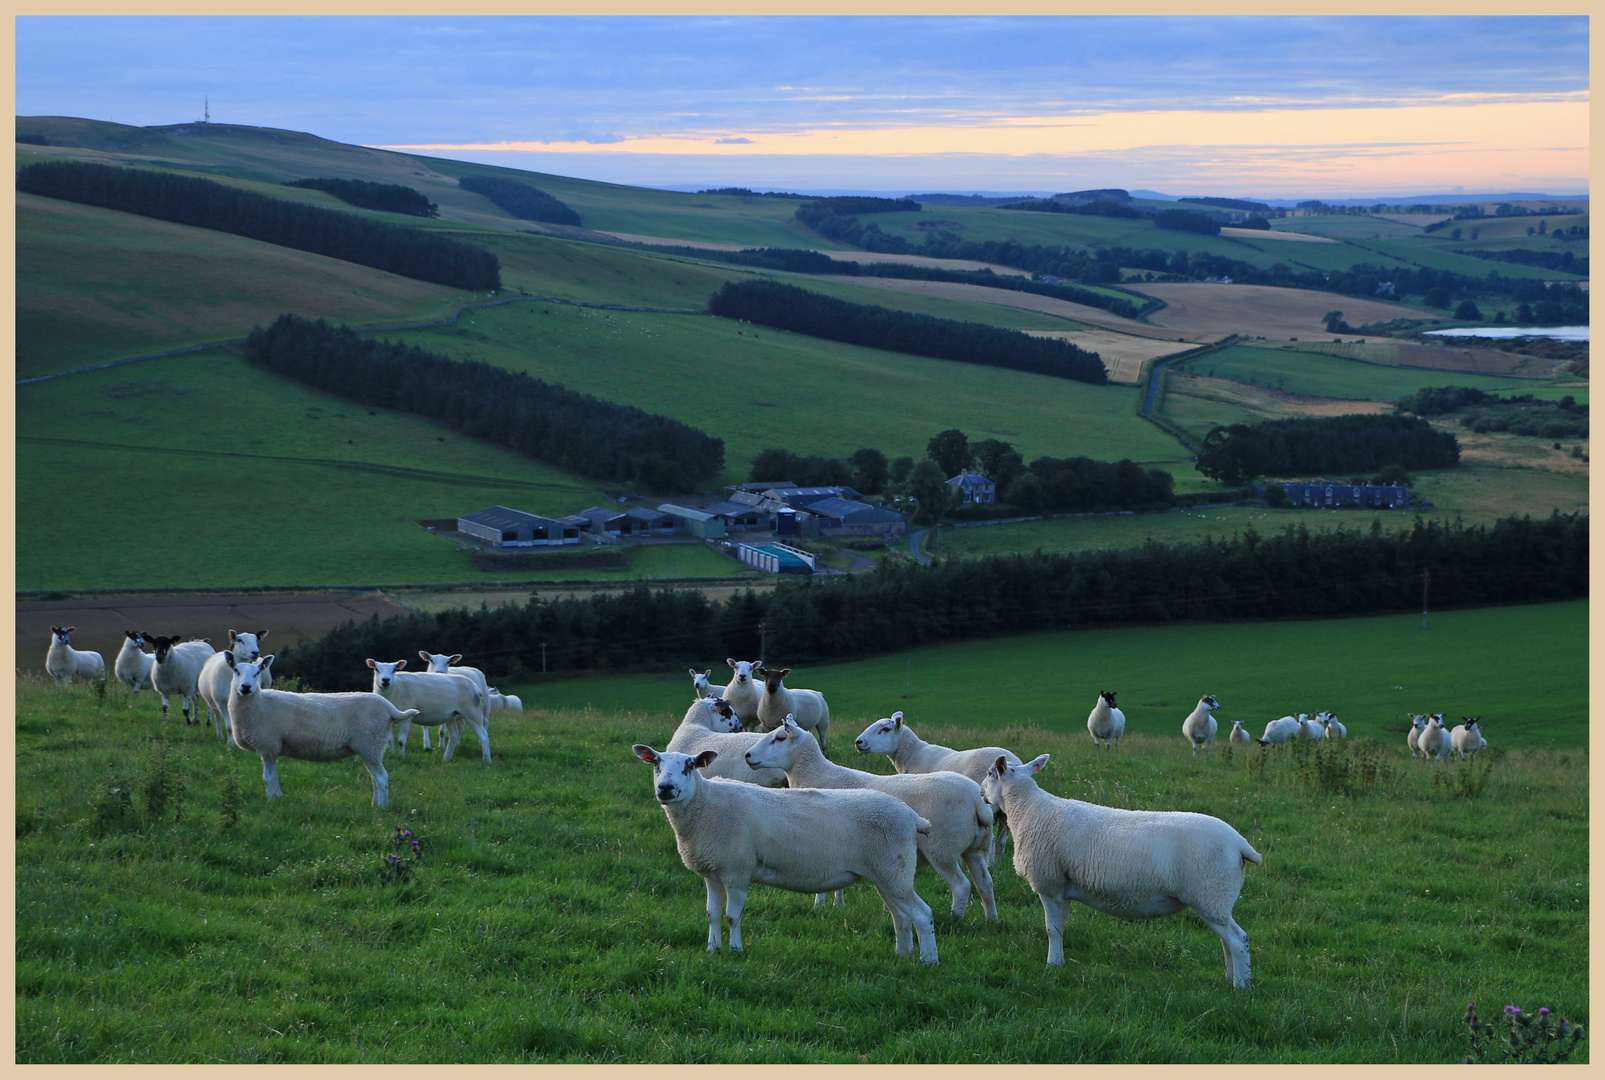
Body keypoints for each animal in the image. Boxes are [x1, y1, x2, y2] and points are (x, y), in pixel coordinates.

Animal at [223, 648, 420, 808]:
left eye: (257, 673)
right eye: (236, 671)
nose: (246, 687)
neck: (259, 704)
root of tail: (389, 707)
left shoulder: (269, 745)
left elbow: (269, 778)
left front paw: (273, 801)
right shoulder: (271, 748)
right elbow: (275, 777)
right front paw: (278, 797)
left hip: (370, 743)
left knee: (381, 777)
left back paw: (382, 808)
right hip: (371, 747)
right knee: (375, 777)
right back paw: (375, 804)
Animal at [629, 741, 937, 962]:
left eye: (690, 765)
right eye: (656, 763)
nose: (666, 788)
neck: (707, 805)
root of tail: (912, 817)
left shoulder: (738, 871)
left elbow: (732, 916)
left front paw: (736, 951)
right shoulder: (713, 872)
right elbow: (712, 914)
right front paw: (712, 950)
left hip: (893, 871)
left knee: (922, 914)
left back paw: (928, 961)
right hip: (887, 873)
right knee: (901, 917)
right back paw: (902, 955)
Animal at [744, 715, 995, 917]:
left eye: (779, 738)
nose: (747, 755)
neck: (815, 773)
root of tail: (976, 799)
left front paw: (819, 905)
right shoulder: (842, 844)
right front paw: (838, 905)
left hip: (942, 848)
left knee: (961, 886)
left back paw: (956, 919)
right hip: (973, 848)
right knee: (985, 883)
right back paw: (991, 919)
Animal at [853, 706, 1014, 866]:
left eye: (885, 729)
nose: (858, 742)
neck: (912, 754)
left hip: (990, 807)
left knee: (992, 840)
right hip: (1005, 814)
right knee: (1001, 841)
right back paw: (997, 864)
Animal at [975, 751, 1264, 988]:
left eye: (989, 774)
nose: (980, 792)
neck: (1028, 810)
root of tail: (1240, 844)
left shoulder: (1049, 883)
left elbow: (1051, 930)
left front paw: (1052, 965)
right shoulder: (1063, 886)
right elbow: (1060, 928)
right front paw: (1059, 962)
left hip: (1211, 894)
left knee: (1237, 939)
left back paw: (1240, 986)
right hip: (1216, 900)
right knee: (1227, 941)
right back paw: (1230, 978)